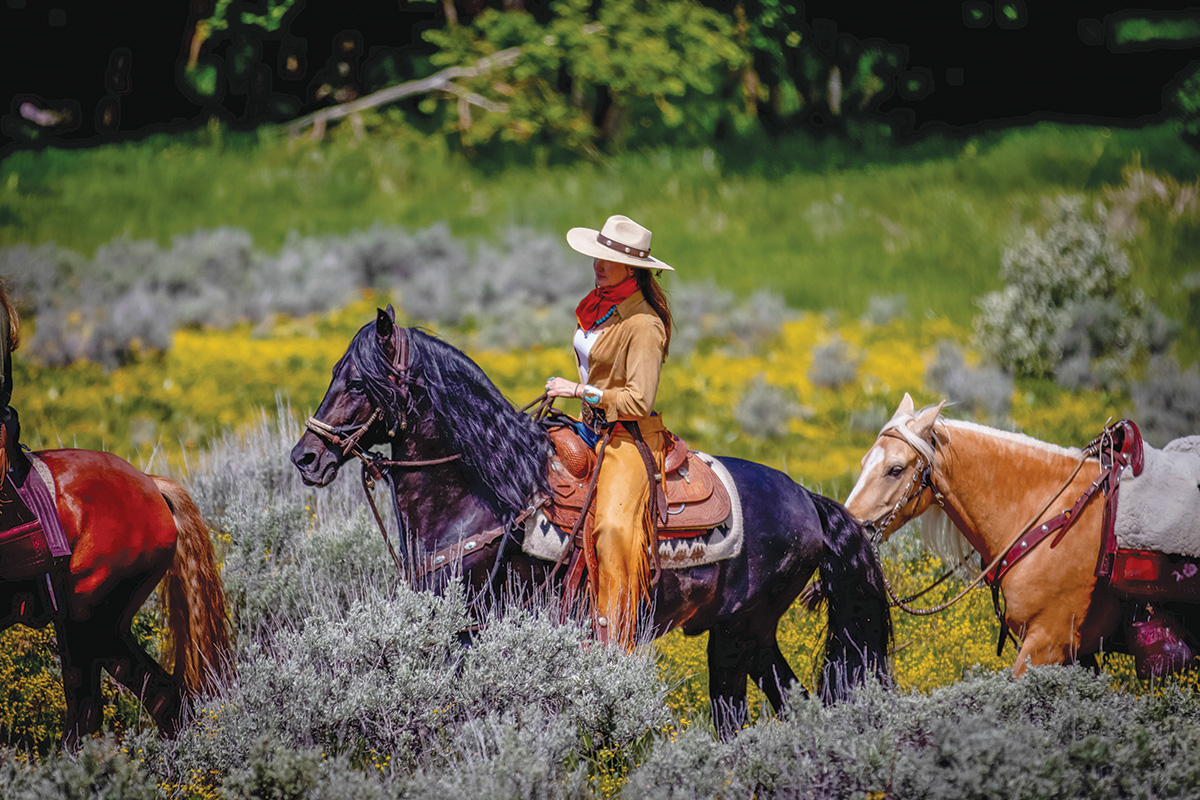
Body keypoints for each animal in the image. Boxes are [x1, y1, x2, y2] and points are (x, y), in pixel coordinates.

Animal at [290, 309, 892, 738]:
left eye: (360, 383)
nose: (305, 457)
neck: (485, 493)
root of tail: (806, 499)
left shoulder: (465, 628)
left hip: (737, 633)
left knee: (736, 718)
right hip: (753, 635)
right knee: (793, 702)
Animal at [844, 393, 1200, 676]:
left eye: (895, 469)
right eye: (862, 462)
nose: (850, 527)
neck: (1049, 517)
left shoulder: (1047, 643)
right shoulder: (1075, 654)